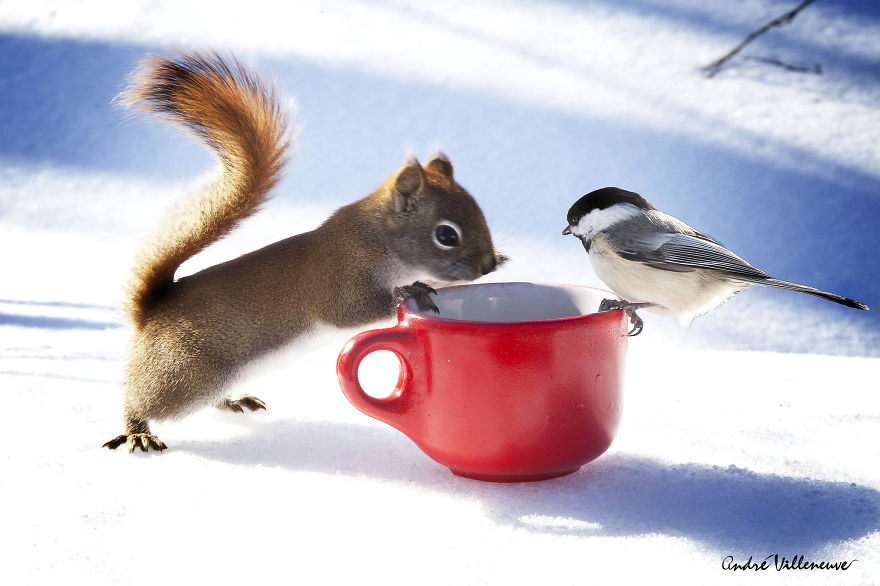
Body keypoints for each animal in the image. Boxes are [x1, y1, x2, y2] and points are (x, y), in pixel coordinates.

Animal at [103, 51, 504, 453]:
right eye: (446, 235)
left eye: (479, 210)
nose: (486, 265)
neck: (379, 240)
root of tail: (150, 311)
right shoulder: (339, 276)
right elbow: (350, 309)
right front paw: (406, 293)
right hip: (185, 375)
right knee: (143, 399)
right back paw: (138, 430)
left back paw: (233, 400)